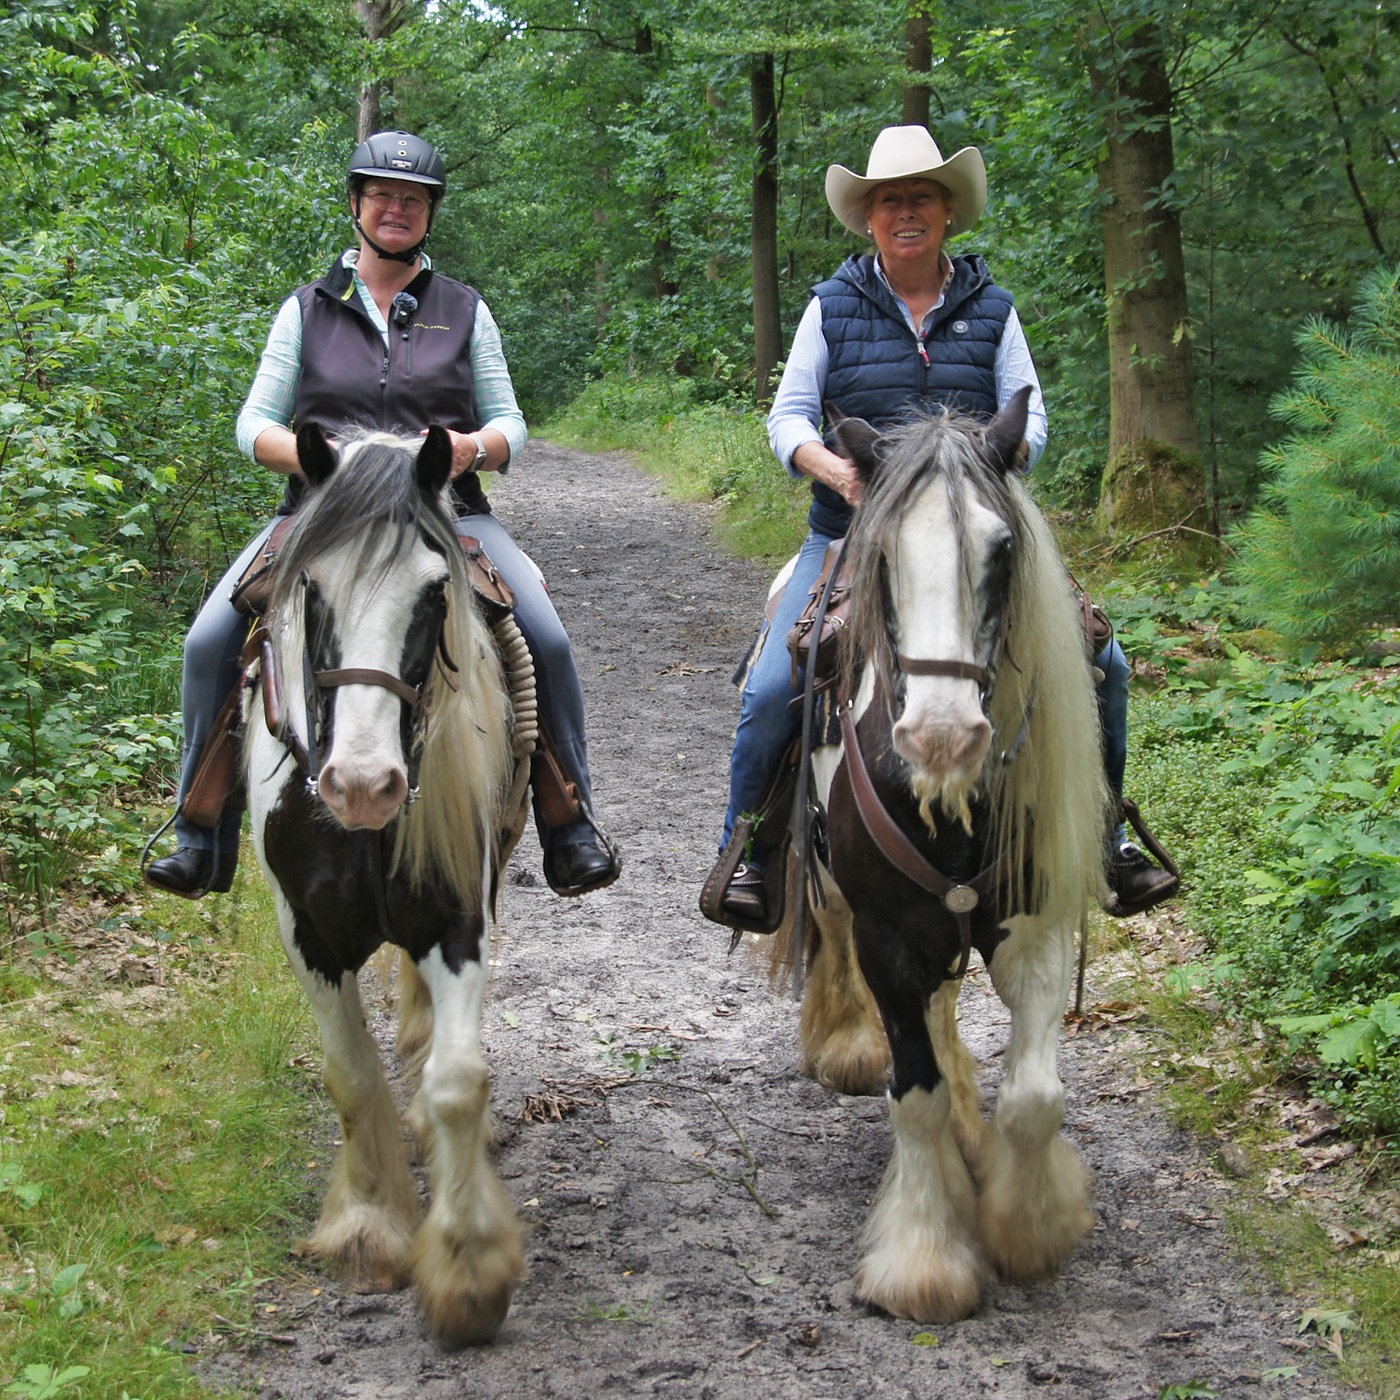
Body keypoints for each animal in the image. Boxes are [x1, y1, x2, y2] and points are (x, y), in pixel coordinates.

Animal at [772, 392, 1108, 1321]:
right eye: (885, 551)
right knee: (841, 947)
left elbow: (1034, 1098)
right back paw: (850, 1046)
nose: (942, 737)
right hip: (836, 892)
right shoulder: (887, 935)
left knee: (946, 1008)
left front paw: (1030, 1226)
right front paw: (924, 1261)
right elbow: (912, 1095)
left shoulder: (1031, 927)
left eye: (1002, 549)